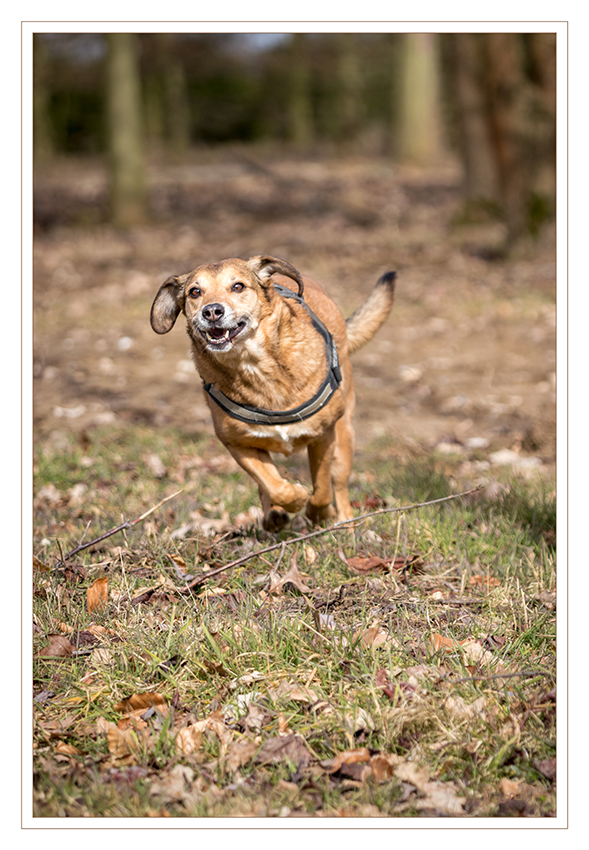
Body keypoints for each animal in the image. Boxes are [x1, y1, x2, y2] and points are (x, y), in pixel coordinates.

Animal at [150, 255, 396, 528]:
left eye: (238, 286)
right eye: (195, 292)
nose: (212, 311)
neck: (255, 365)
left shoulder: (324, 435)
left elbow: (322, 489)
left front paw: (319, 513)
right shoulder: (238, 443)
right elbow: (275, 486)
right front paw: (294, 498)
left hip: (344, 437)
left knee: (339, 486)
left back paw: (344, 523)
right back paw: (273, 517)